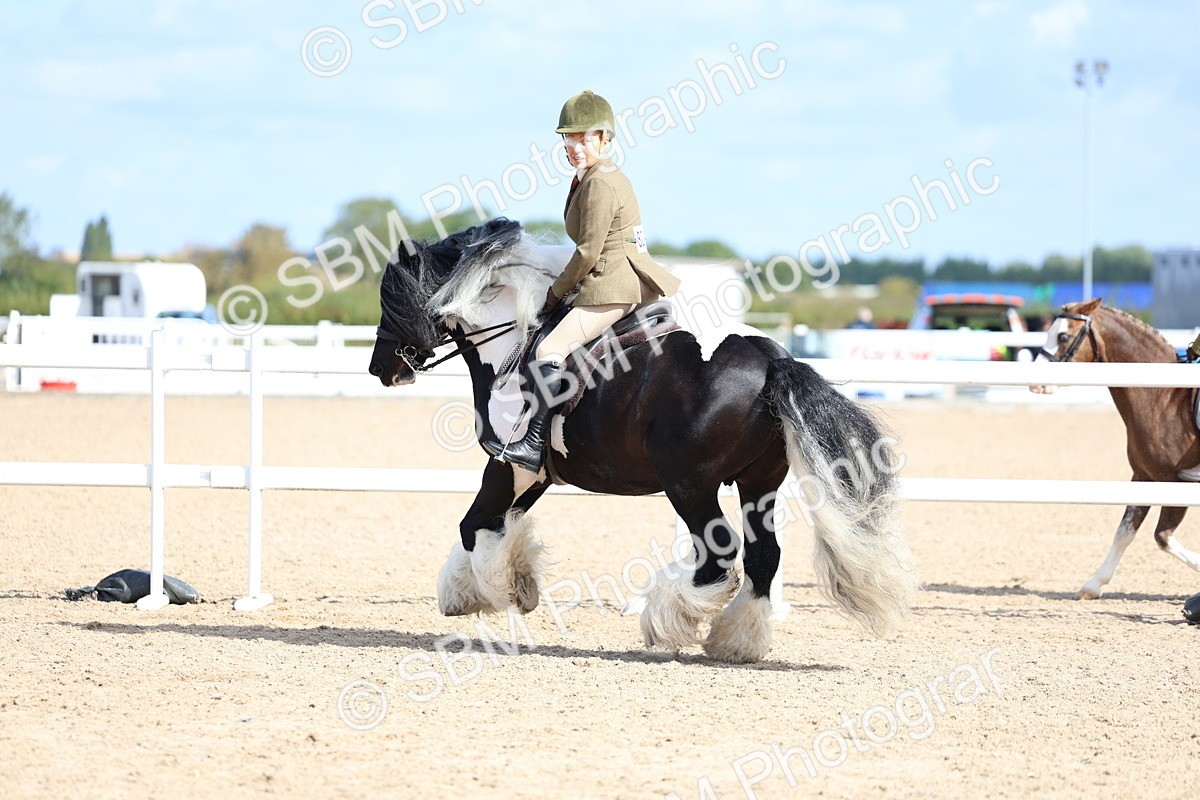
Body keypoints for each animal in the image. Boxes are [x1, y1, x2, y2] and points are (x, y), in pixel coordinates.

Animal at [368, 218, 919, 663]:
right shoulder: (535, 473)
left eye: (389, 298)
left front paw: (501, 589)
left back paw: (666, 620)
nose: (381, 369)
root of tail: (770, 359)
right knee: (764, 555)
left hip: (690, 485)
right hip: (757, 483)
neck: (512, 339)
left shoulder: (508, 464)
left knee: (719, 558)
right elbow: (490, 522)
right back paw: (736, 642)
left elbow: (474, 525)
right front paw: (476, 587)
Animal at [1031, 298, 1200, 598]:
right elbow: (1124, 533)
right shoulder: (1145, 476)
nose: (1034, 383)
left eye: (1062, 336)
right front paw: (1093, 585)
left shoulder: (1178, 482)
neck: (1163, 398)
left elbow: (1162, 537)